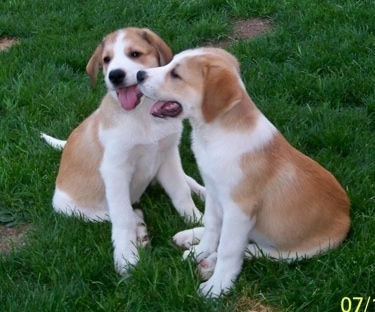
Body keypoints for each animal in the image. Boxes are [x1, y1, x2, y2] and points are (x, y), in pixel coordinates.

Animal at [41, 27, 203, 276]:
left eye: (134, 54)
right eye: (106, 60)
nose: (115, 76)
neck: (143, 114)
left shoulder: (168, 155)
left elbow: (181, 191)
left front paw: (196, 220)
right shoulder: (115, 170)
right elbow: (122, 216)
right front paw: (127, 259)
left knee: (188, 182)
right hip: (66, 207)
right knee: (121, 213)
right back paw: (139, 228)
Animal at [137, 48, 352, 298]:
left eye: (176, 74)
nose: (139, 75)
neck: (214, 135)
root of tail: (347, 215)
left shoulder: (239, 209)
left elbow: (229, 250)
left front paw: (217, 286)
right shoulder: (213, 192)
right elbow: (212, 227)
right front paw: (199, 251)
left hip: (301, 251)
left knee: (258, 251)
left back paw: (214, 262)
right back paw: (191, 238)